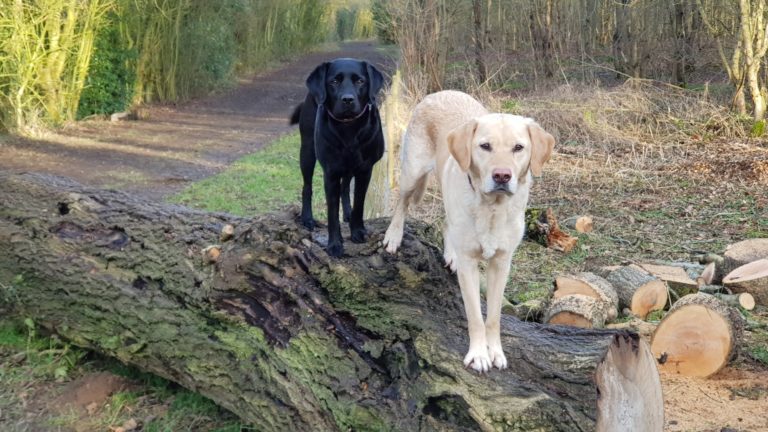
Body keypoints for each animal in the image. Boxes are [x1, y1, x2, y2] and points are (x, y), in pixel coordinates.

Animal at [288, 57, 384, 256]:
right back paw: (307, 218)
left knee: (345, 187)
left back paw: (347, 213)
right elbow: (332, 212)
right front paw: (334, 244)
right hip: (307, 151)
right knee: (307, 186)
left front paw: (357, 231)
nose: (347, 99)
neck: (349, 128)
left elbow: (359, 202)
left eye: (360, 81)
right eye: (333, 81)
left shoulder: (365, 170)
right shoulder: (330, 173)